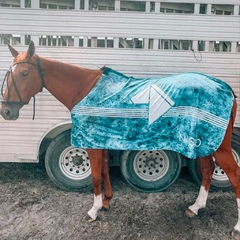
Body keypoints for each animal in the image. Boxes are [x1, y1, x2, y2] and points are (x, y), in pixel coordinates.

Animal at [0, 41, 239, 236]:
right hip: (204, 144)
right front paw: (106, 202)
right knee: (208, 170)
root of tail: (225, 88)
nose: (7, 111)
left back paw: (236, 227)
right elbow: (105, 170)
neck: (84, 89)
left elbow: (96, 175)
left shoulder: (91, 143)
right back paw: (195, 207)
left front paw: (94, 210)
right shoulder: (104, 139)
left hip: (218, 146)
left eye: (24, 73)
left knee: (234, 174)